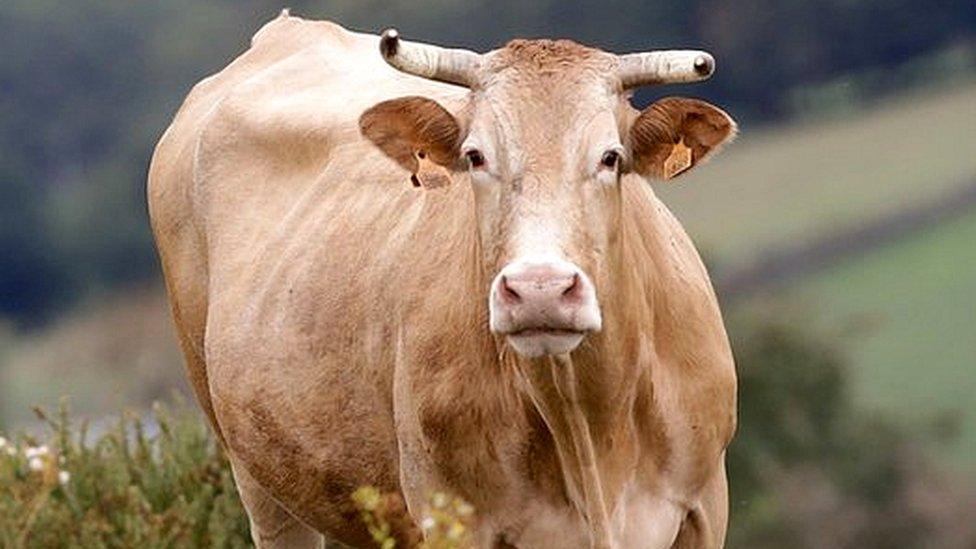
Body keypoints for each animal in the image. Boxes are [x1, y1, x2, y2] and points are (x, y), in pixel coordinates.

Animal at [149, 11, 736, 548]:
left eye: (611, 157)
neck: (588, 437)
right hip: (261, 484)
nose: (539, 290)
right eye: (475, 156)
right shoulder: (448, 513)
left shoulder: (705, 504)